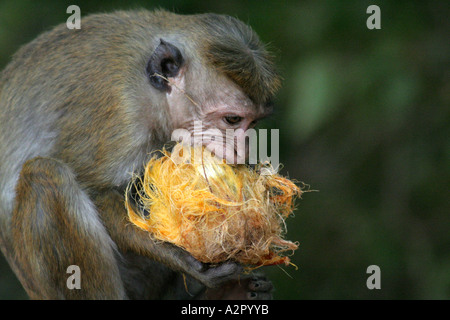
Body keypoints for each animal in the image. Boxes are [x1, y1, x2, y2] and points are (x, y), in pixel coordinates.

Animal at [0, 10, 282, 300]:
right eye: (232, 119)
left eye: (254, 122)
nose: (243, 149)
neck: (154, 95)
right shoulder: (122, 112)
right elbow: (97, 192)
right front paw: (181, 256)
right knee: (45, 176)